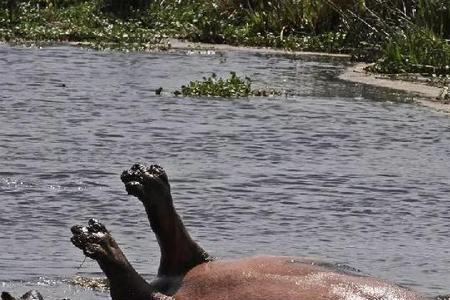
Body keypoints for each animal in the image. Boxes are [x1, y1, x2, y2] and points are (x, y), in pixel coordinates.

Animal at [70, 164, 428, 300]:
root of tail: (168, 284)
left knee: (140, 290)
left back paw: (98, 240)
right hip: (191, 269)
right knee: (180, 254)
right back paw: (144, 181)